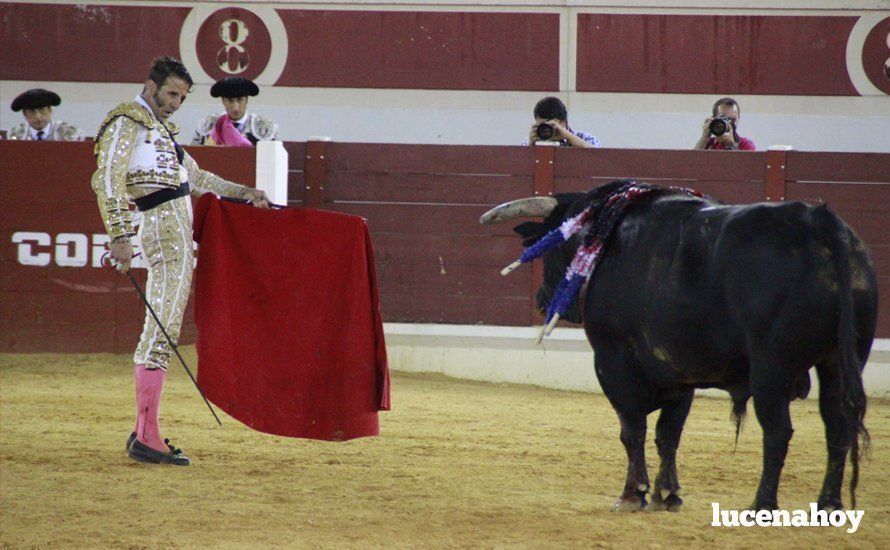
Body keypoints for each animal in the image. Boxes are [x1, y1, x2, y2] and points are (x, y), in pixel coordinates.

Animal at [478, 182, 876, 512]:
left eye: (553, 246)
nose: (542, 300)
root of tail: (820, 223)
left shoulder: (611, 359)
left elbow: (633, 428)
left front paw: (633, 493)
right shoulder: (680, 371)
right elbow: (668, 433)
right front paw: (666, 494)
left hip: (771, 368)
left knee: (778, 432)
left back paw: (762, 505)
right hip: (840, 361)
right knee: (837, 427)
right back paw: (829, 504)